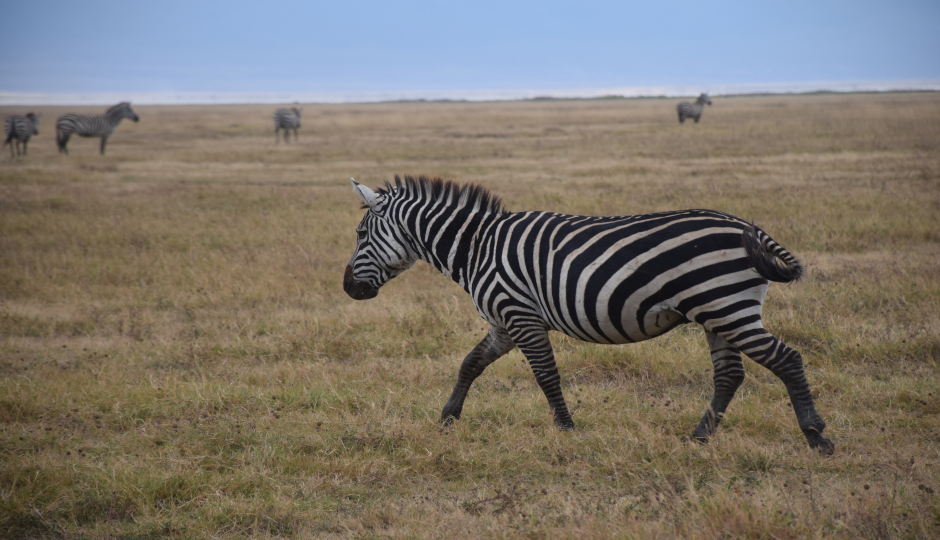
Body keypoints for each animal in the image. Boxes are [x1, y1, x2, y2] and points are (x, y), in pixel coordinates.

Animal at [346, 175, 836, 454]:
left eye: (360, 234)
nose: (348, 288)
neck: (477, 247)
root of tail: (749, 227)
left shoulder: (519, 313)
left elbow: (546, 375)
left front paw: (566, 430)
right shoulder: (504, 321)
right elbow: (470, 364)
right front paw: (447, 419)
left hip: (726, 306)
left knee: (786, 359)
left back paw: (817, 437)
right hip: (718, 312)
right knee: (730, 375)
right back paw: (699, 438)